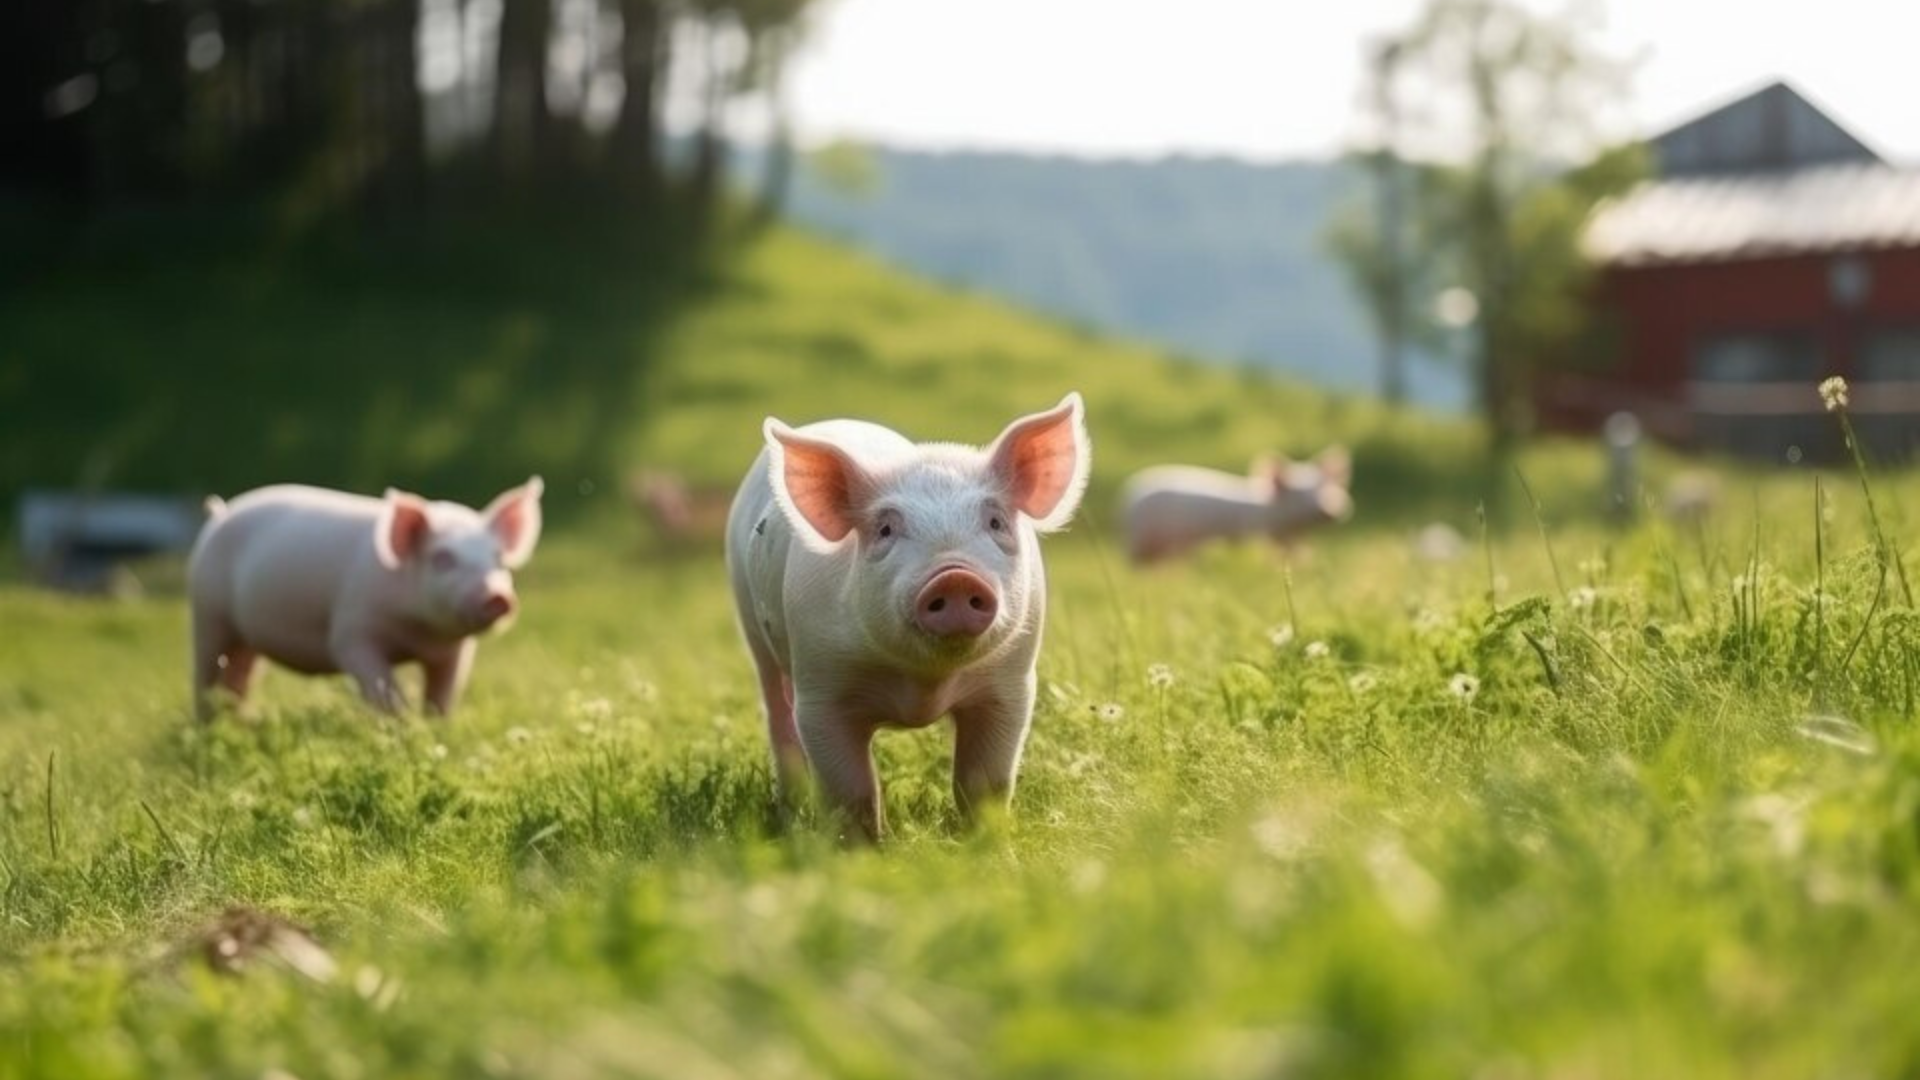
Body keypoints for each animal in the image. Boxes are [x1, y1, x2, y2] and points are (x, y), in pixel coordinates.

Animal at [186, 479, 544, 720]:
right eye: (443, 558)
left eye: (498, 558)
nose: (497, 597)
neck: (418, 634)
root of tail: (219, 514)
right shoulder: (351, 631)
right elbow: (382, 687)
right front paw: (404, 728)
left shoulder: (454, 651)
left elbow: (442, 696)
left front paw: (433, 729)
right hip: (206, 613)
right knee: (205, 674)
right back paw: (210, 727)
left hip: (246, 638)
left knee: (239, 675)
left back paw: (243, 721)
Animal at [725, 394, 1091, 841]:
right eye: (885, 529)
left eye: (995, 521)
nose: (955, 576)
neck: (924, 684)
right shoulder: (820, 690)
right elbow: (852, 792)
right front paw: (863, 851)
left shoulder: (1012, 684)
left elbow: (983, 784)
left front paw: (993, 850)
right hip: (752, 628)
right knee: (779, 721)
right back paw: (789, 815)